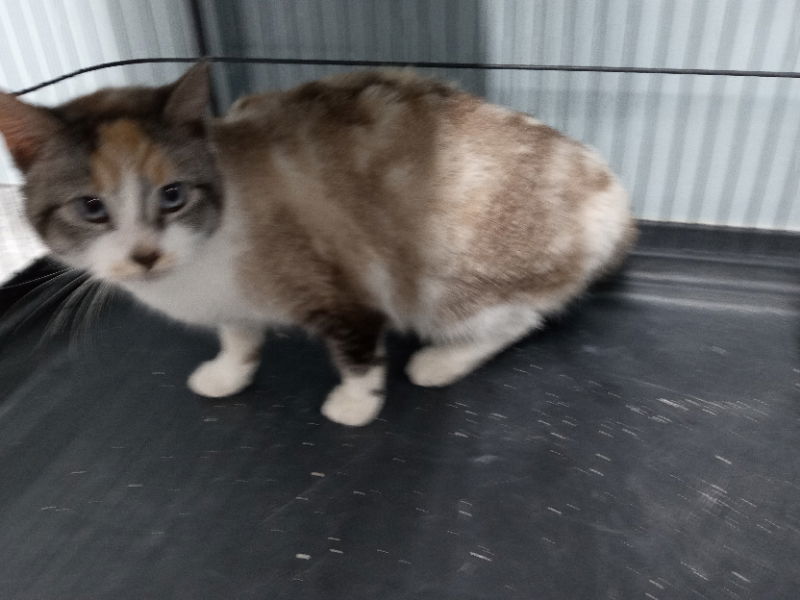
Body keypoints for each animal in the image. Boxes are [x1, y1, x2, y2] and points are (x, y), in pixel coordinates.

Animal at [1, 64, 636, 426]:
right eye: (91, 208)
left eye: (173, 195)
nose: (145, 256)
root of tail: (613, 196)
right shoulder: (231, 305)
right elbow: (238, 336)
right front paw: (226, 376)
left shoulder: (348, 294)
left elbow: (356, 354)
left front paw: (354, 408)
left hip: (446, 282)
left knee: (520, 318)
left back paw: (437, 362)